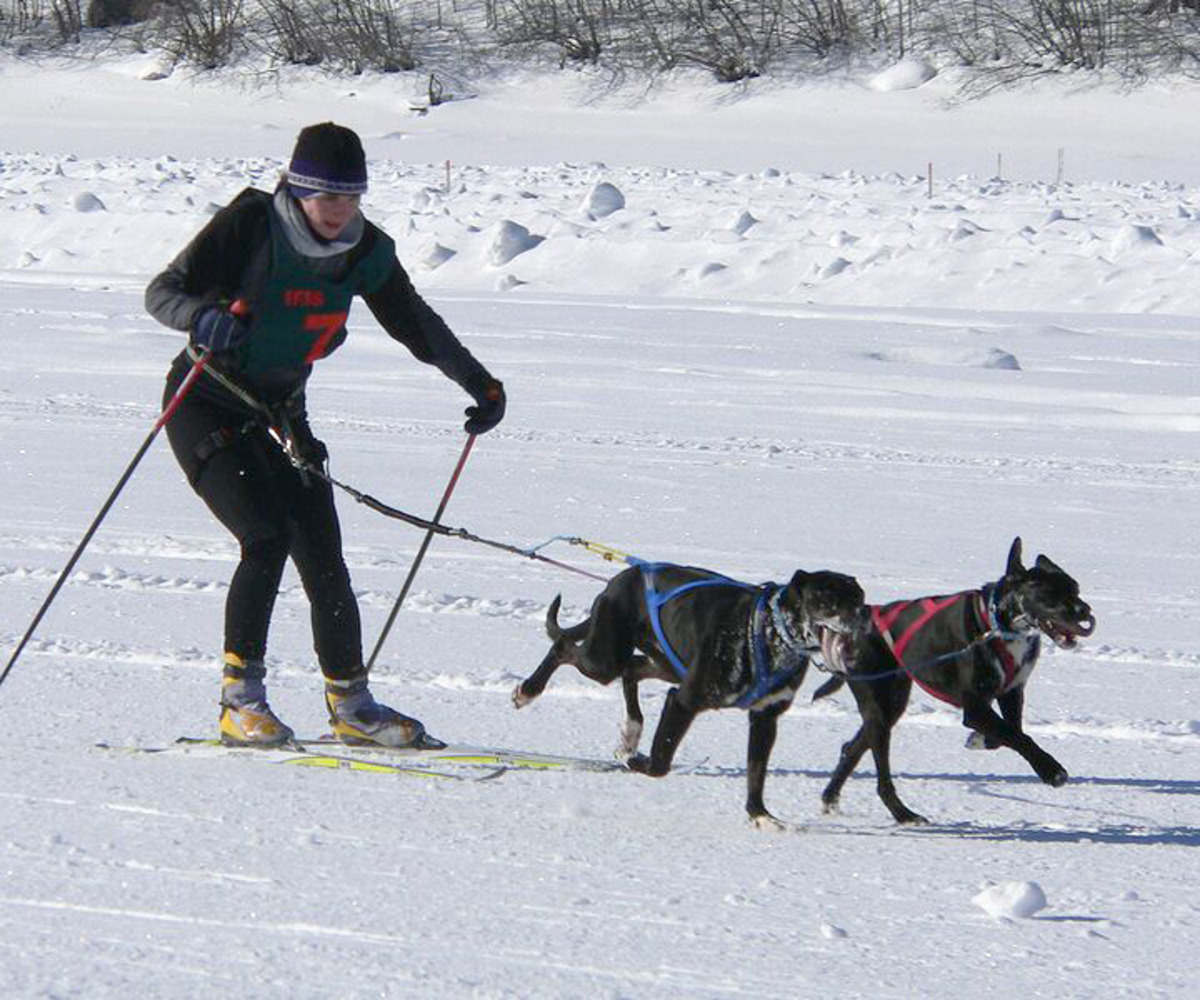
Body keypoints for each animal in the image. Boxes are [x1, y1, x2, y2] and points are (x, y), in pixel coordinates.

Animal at [511, 561, 868, 825]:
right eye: (828, 599)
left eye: (860, 598)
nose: (863, 616)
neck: (771, 633)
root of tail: (619, 579)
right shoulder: (683, 701)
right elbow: (659, 763)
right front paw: (631, 759)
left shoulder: (765, 717)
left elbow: (757, 771)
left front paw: (760, 816)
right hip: (604, 659)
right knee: (563, 648)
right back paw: (529, 690)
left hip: (666, 662)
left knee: (631, 670)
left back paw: (631, 730)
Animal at [811, 537, 1094, 825]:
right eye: (1051, 594)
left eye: (1075, 588)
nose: (1085, 610)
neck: (998, 624)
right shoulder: (975, 707)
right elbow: (1017, 736)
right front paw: (1050, 770)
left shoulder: (1011, 693)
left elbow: (1011, 731)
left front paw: (980, 740)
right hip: (878, 704)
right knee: (882, 776)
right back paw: (903, 814)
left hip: (891, 703)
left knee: (852, 748)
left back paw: (831, 797)